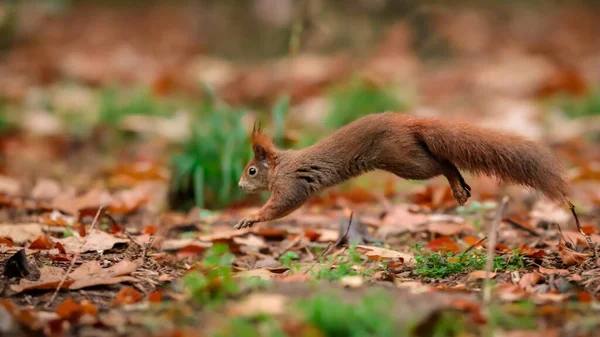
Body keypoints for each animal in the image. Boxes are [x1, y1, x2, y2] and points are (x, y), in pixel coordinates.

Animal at [232, 111, 568, 228]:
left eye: (251, 171)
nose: (238, 186)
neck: (280, 166)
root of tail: (407, 121)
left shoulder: (293, 183)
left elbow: (282, 205)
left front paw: (251, 217)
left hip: (405, 160)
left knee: (443, 163)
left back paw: (456, 184)